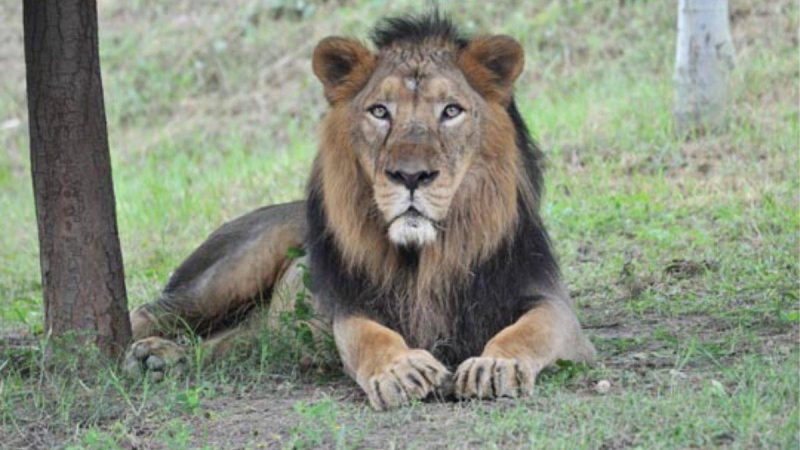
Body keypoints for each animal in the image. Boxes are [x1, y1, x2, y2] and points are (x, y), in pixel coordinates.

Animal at [123, 12, 596, 410]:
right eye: (380, 111)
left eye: (451, 111)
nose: (410, 175)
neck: (426, 255)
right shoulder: (353, 303)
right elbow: (368, 336)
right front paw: (401, 370)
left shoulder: (548, 299)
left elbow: (530, 330)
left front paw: (494, 366)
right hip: (229, 273)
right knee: (150, 311)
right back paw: (134, 350)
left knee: (236, 343)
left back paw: (165, 358)